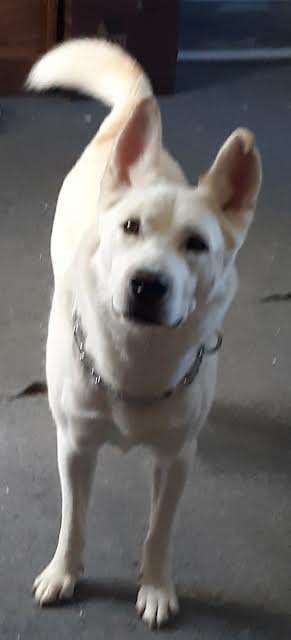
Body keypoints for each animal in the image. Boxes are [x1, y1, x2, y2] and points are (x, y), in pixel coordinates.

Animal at [28, 41, 262, 632]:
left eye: (196, 244)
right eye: (131, 228)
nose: (147, 284)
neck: (135, 361)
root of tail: (129, 124)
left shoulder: (177, 458)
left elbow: (159, 530)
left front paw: (155, 586)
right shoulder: (75, 447)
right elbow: (73, 518)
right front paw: (63, 572)